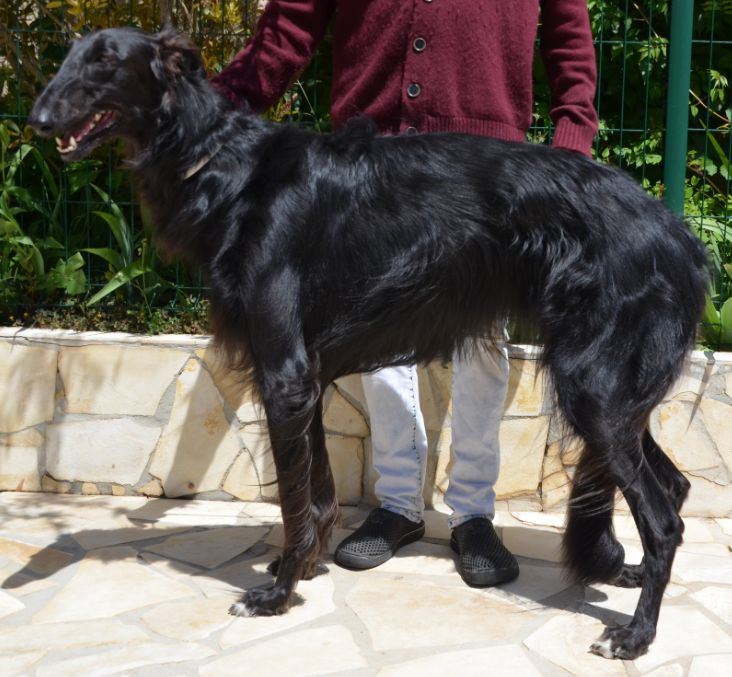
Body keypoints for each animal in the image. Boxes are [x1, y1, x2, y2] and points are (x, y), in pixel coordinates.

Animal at [28, 27, 709, 660]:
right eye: (70, 55)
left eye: (106, 61)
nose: (36, 121)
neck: (227, 167)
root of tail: (680, 236)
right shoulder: (305, 377)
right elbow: (318, 495)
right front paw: (302, 568)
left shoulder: (284, 374)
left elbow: (293, 503)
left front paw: (276, 593)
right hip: (613, 396)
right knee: (676, 487)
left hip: (592, 387)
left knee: (664, 518)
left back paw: (636, 635)